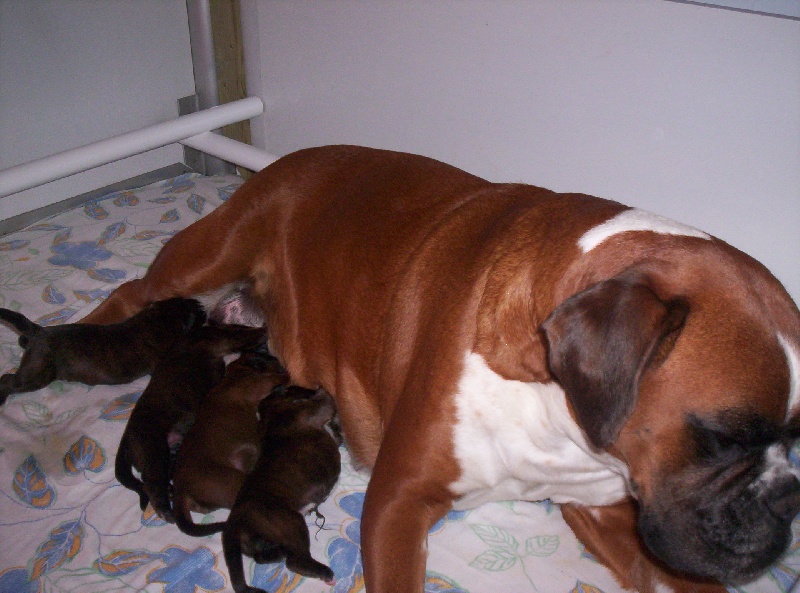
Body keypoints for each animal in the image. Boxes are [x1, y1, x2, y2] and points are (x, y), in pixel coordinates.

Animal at [1, 296, 206, 402]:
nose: (202, 305)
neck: (158, 320)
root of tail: (39, 331)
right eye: (197, 313)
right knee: (8, 381)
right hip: (35, 376)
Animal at [115, 322, 266, 520]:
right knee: (151, 484)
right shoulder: (218, 341)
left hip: (167, 452)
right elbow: (239, 338)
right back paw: (166, 511)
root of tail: (126, 436)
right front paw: (261, 332)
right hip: (154, 449)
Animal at [170, 350, 290, 536]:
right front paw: (285, 375)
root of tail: (180, 488)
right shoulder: (261, 383)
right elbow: (277, 377)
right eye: (270, 358)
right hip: (235, 480)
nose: (279, 361)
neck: (235, 375)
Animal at [222, 384, 340, 592]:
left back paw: (279, 553)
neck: (270, 414)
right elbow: (325, 399)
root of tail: (235, 518)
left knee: (262, 557)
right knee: (295, 561)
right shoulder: (315, 409)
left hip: (255, 543)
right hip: (291, 522)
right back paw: (324, 572)